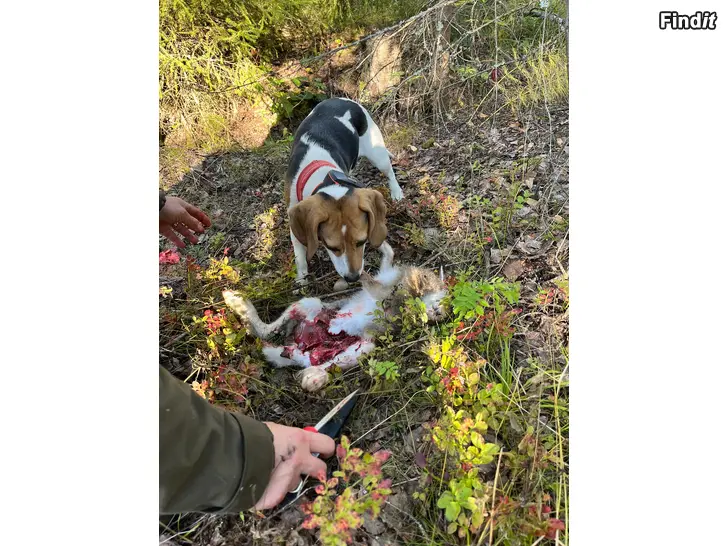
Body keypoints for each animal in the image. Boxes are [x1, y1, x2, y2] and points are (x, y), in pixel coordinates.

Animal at [223, 242, 446, 391]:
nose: (438, 313)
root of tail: (301, 346)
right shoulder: (387, 277)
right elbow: (387, 259)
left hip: (363, 346)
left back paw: (311, 378)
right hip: (309, 304)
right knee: (268, 331)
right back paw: (236, 301)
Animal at [284, 98, 404, 285]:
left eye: (362, 241)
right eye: (331, 247)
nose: (353, 278)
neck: (322, 174)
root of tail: (341, 99)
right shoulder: (294, 218)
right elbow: (300, 258)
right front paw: (302, 280)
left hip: (377, 155)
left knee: (390, 172)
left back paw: (396, 191)